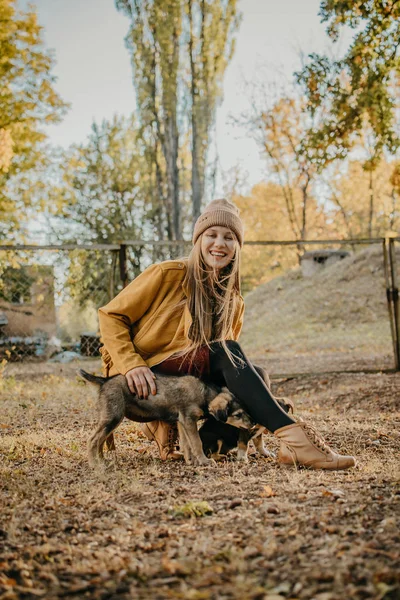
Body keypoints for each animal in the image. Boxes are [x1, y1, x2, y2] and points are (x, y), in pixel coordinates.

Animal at [80, 370, 255, 468]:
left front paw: (190, 461)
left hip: (110, 419)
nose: (252, 423)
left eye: (245, 411)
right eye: (238, 415)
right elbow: (196, 442)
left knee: (99, 441)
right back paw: (96, 465)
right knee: (92, 440)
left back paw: (102, 461)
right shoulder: (189, 420)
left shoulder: (182, 422)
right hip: (113, 417)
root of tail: (104, 380)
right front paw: (204, 461)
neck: (205, 394)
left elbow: (186, 444)